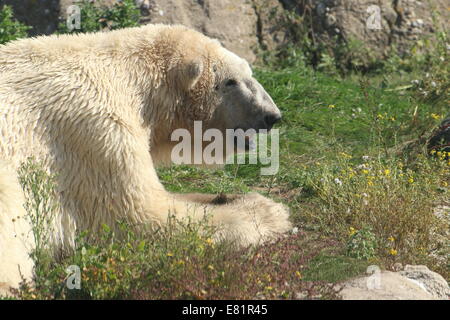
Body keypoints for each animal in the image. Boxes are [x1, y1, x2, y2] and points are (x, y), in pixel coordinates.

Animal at [0, 24, 292, 296]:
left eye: (250, 73)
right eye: (231, 81)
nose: (271, 116)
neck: (127, 75)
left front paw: (224, 197)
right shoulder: (94, 130)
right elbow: (141, 216)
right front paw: (269, 211)